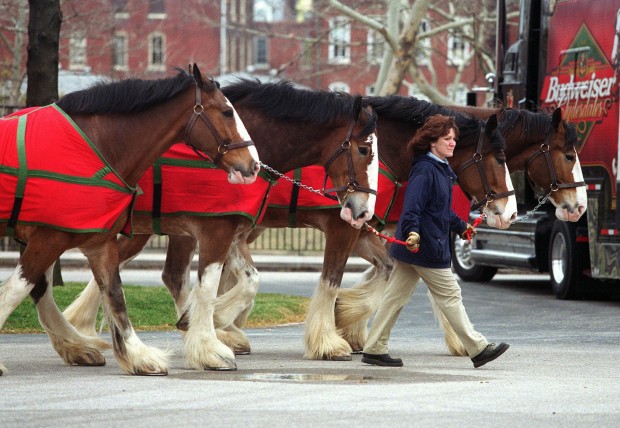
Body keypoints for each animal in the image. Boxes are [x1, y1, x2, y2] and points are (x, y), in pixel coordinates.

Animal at [0, 64, 260, 378]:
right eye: (226, 112)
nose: (253, 165)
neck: (94, 148)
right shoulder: (51, 236)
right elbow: (15, 290)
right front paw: (208, 347)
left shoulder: (99, 241)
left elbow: (115, 294)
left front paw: (139, 356)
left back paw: (76, 345)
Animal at [61, 77, 378, 372]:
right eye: (364, 150)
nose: (363, 210)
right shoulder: (219, 229)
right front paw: (209, 334)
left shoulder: (235, 231)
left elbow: (249, 280)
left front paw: (207, 326)